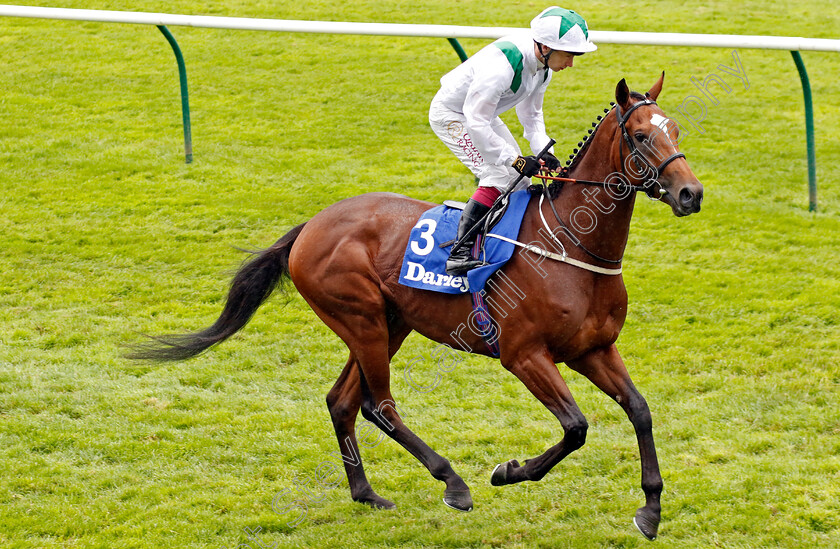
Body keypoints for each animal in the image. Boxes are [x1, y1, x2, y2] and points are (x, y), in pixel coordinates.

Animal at [131, 74, 704, 540]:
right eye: (640, 135)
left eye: (675, 129)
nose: (690, 193)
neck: (571, 246)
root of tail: (312, 224)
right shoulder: (523, 355)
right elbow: (576, 427)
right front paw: (508, 471)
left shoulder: (594, 349)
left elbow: (640, 410)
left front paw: (650, 510)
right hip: (361, 319)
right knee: (377, 404)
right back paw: (453, 481)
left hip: (389, 324)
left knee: (342, 401)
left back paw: (367, 493)